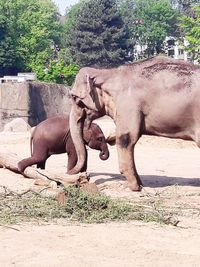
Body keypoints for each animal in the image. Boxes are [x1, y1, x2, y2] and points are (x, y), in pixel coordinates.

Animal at [69, 56, 200, 193]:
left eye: (74, 97)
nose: (70, 173)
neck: (108, 73)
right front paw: (140, 185)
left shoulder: (128, 105)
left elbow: (125, 138)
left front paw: (131, 187)